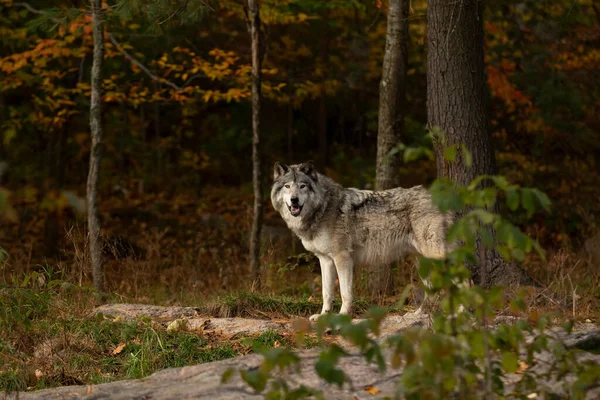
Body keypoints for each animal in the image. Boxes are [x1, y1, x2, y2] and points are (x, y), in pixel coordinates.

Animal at [270, 161, 452, 320]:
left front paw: (343, 315)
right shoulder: (325, 260)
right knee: (432, 291)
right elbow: (326, 292)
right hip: (422, 262)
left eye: (302, 186)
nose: (294, 200)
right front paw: (323, 316)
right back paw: (418, 314)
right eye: (287, 186)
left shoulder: (342, 258)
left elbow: (345, 292)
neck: (323, 207)